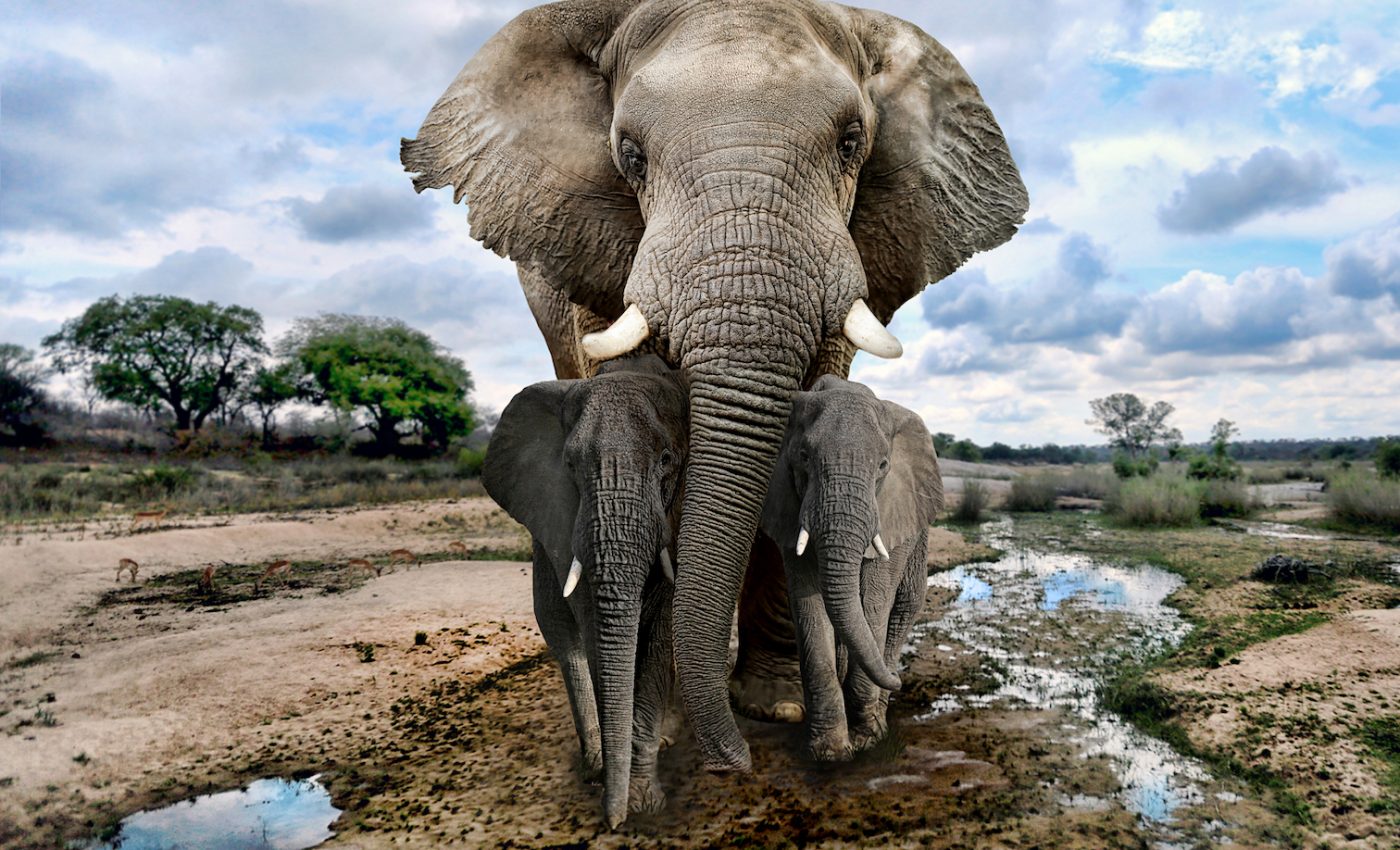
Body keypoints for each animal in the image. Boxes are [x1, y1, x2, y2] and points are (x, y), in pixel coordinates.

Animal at [482, 354, 686, 827]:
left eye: (667, 458)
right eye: (570, 466)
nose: (612, 824)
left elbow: (659, 633)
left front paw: (642, 802)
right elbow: (594, 628)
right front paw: (626, 795)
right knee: (564, 638)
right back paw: (595, 765)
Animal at [760, 375, 942, 760]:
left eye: (883, 465)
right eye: (804, 457)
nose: (900, 681)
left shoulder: (891, 511)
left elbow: (873, 601)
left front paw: (867, 739)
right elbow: (809, 604)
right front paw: (829, 752)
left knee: (904, 607)